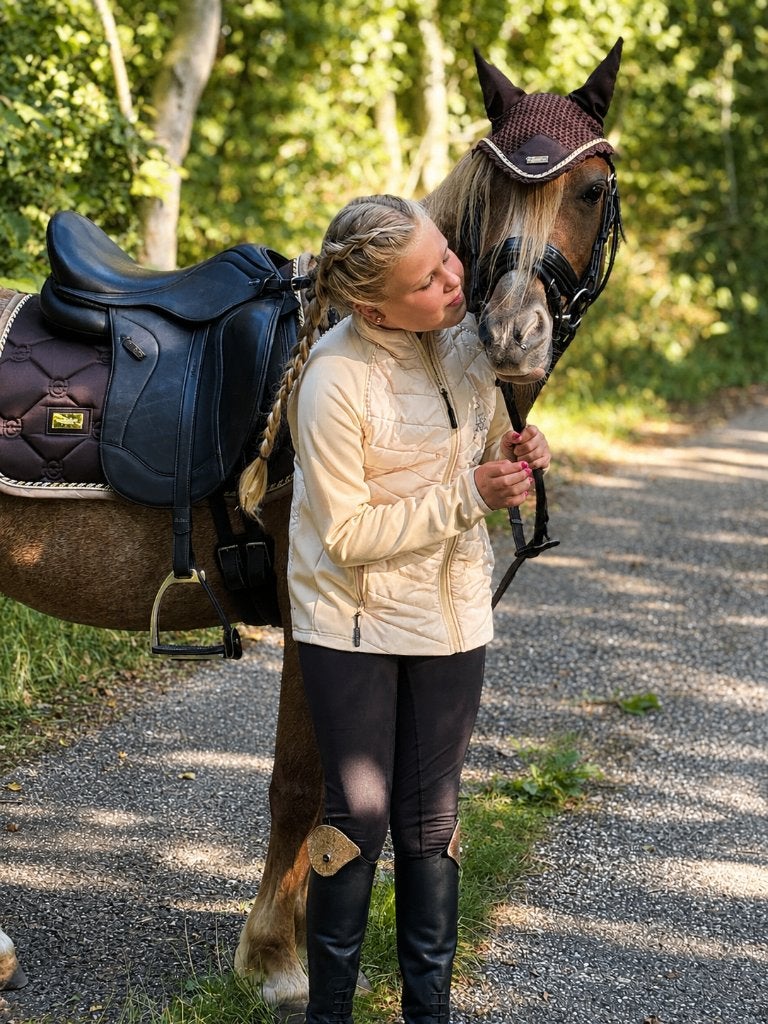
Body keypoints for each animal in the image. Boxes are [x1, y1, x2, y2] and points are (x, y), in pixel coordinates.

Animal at [0, 40, 623, 1012]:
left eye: (590, 189)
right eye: (493, 187)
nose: (512, 332)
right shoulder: (311, 615)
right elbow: (305, 785)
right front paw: (275, 960)